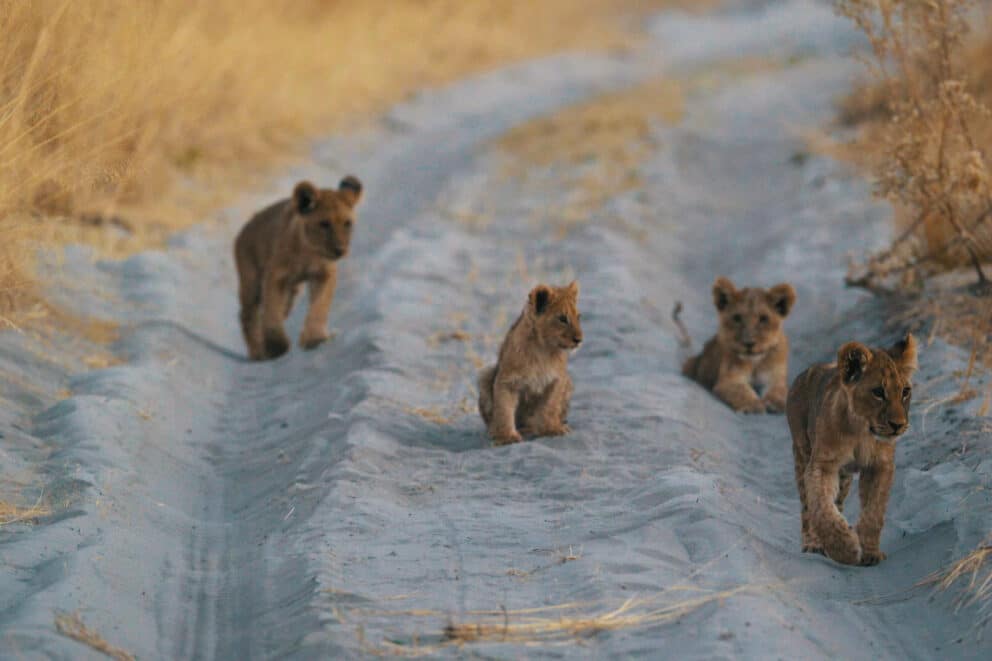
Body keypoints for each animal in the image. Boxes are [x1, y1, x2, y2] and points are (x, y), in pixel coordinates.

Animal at [234, 176, 362, 361]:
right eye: (324, 224)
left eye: (347, 223)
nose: (340, 249)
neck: (308, 253)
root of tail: (244, 229)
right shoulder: (275, 277)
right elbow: (272, 310)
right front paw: (276, 347)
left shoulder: (324, 275)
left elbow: (319, 306)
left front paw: (315, 338)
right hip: (251, 282)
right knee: (248, 315)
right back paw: (258, 353)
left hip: (292, 289)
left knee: (279, 309)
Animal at [478, 281, 583, 445]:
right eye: (562, 318)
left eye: (578, 317)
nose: (579, 340)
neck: (543, 349)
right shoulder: (507, 381)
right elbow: (504, 409)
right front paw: (506, 437)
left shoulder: (557, 380)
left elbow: (550, 406)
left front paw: (552, 429)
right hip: (485, 376)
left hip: (569, 384)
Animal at [679, 277, 796, 413]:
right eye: (737, 318)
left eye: (763, 318)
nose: (749, 343)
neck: (755, 362)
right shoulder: (729, 380)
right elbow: (741, 391)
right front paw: (753, 404)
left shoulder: (775, 378)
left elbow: (779, 390)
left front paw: (776, 402)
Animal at [786, 334, 917, 566]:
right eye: (878, 392)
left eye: (905, 392)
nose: (898, 425)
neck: (861, 432)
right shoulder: (822, 465)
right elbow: (821, 507)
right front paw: (844, 548)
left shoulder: (880, 466)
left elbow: (874, 511)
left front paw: (870, 552)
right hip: (802, 453)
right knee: (807, 508)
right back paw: (814, 544)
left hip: (844, 476)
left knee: (838, 502)